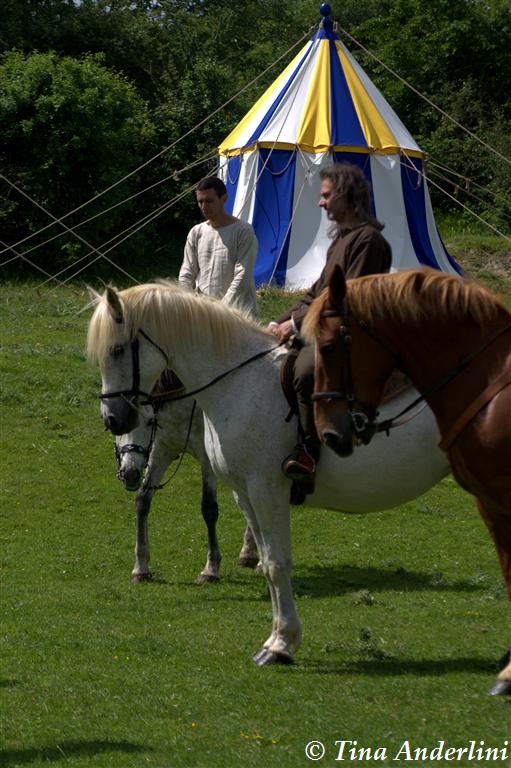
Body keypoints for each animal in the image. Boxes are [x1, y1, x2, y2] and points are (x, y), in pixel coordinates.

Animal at [114, 394, 259, 583]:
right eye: (116, 425)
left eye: (149, 422)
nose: (130, 474)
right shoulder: (161, 448)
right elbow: (142, 501)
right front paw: (141, 568)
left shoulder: (207, 458)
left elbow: (209, 509)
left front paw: (210, 569)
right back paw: (249, 552)